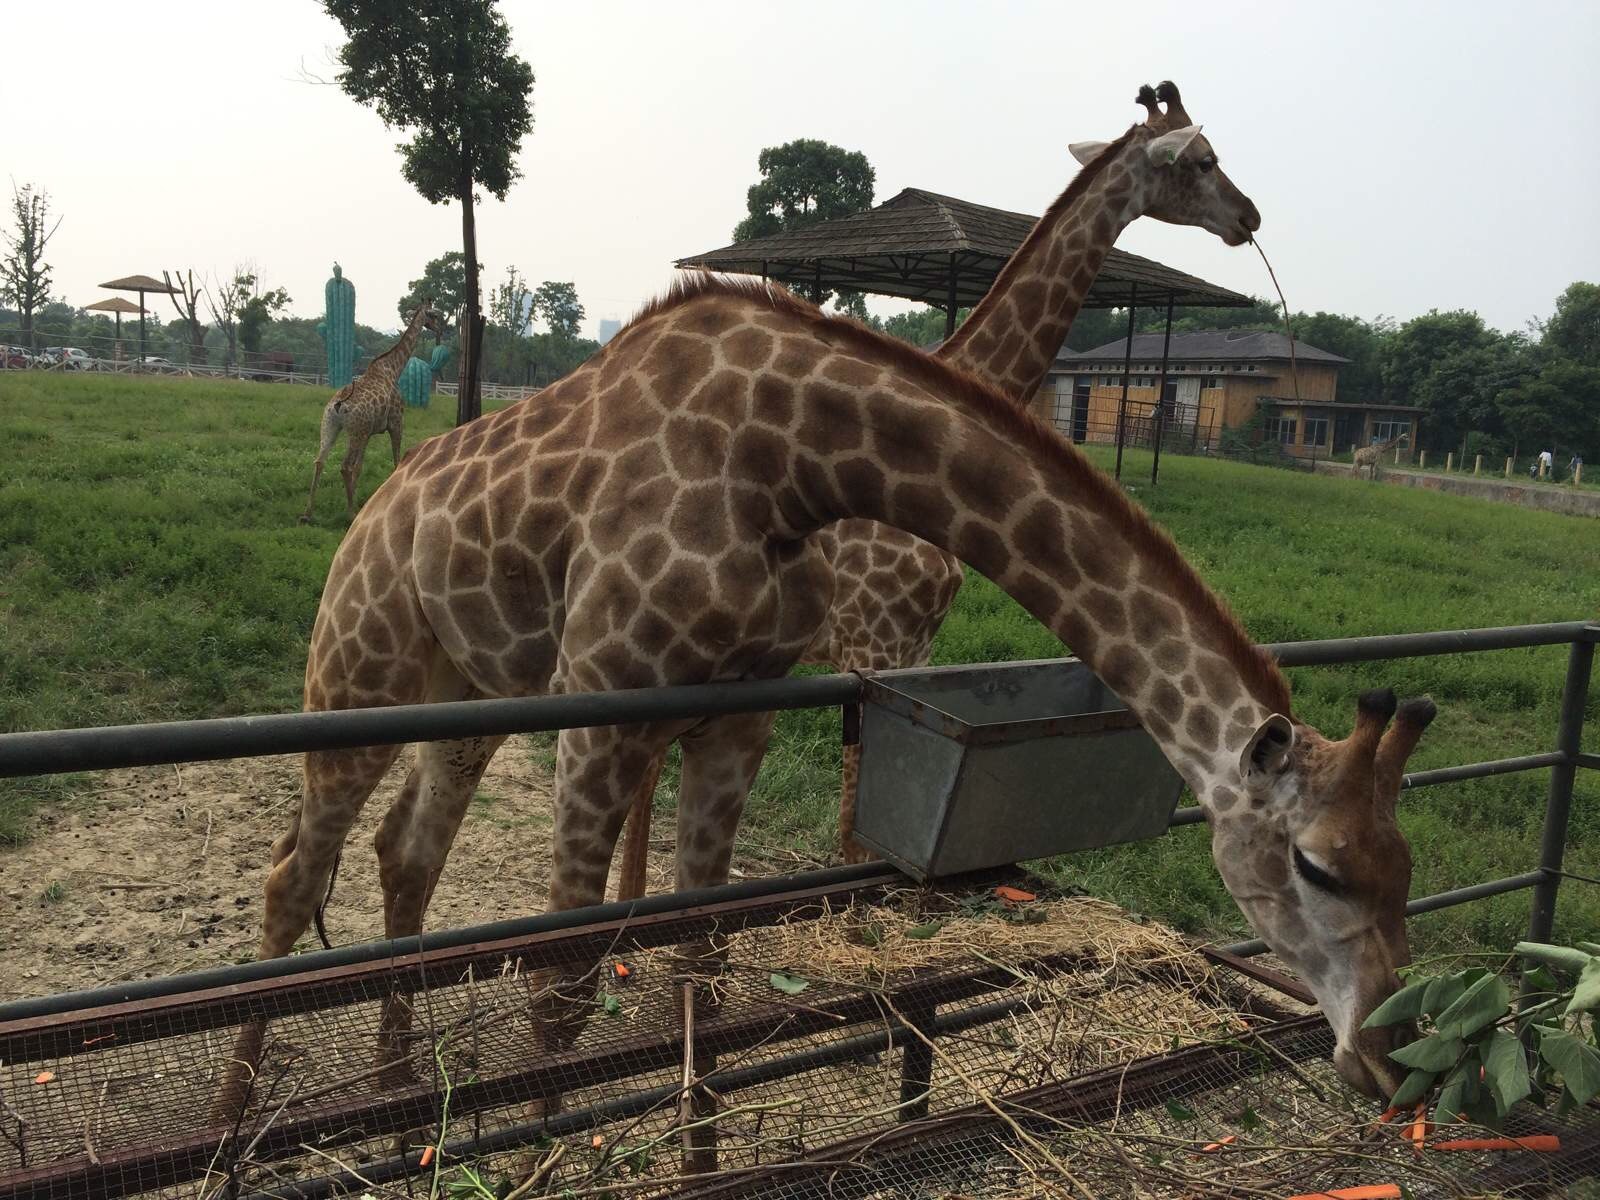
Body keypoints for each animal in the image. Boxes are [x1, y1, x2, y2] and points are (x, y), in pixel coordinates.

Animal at [300, 299, 448, 521]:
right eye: (434, 316)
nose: (441, 329)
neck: (393, 369)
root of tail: (338, 405)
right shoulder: (396, 422)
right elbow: (396, 461)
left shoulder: (369, 433)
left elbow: (360, 468)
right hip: (355, 431)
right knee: (344, 466)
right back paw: (350, 512)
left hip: (331, 426)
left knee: (320, 461)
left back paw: (308, 513)